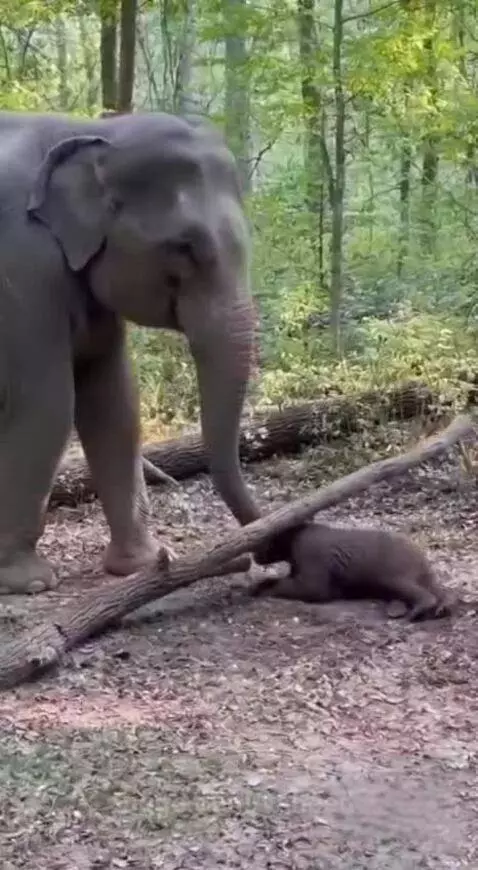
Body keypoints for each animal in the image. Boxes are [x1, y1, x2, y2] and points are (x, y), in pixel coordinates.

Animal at [0, 110, 261, 594]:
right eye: (184, 247)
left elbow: (113, 400)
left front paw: (143, 563)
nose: (258, 554)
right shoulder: (23, 269)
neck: (88, 133)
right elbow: (47, 405)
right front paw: (28, 582)